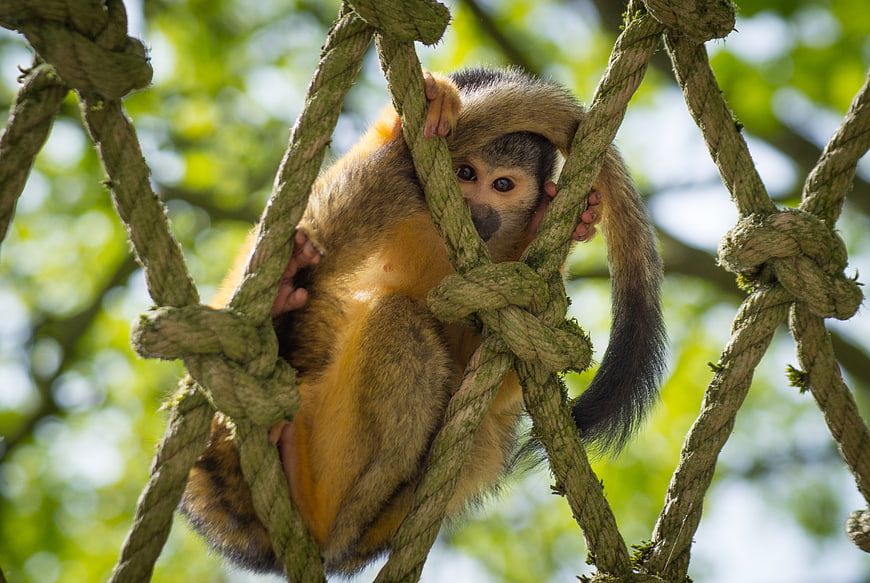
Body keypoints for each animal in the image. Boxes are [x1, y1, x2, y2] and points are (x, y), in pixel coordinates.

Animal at [179, 67, 665, 576]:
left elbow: (490, 383)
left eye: (502, 185)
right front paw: (427, 106)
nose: (478, 210)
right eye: (466, 174)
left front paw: (562, 223)